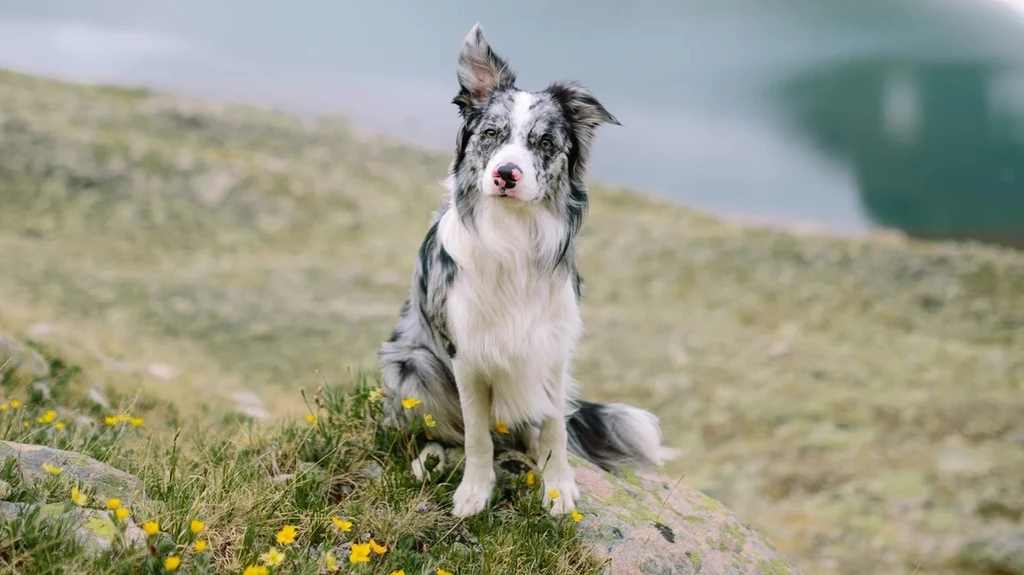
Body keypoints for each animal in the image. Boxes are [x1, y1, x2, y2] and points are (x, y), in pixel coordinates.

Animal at [380, 22, 675, 517]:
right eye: (491, 134)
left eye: (545, 142)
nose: (506, 174)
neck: (513, 235)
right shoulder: (466, 353)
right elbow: (477, 435)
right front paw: (474, 492)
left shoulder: (552, 344)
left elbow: (554, 425)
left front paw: (558, 487)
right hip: (409, 365)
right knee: (445, 429)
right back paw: (433, 457)